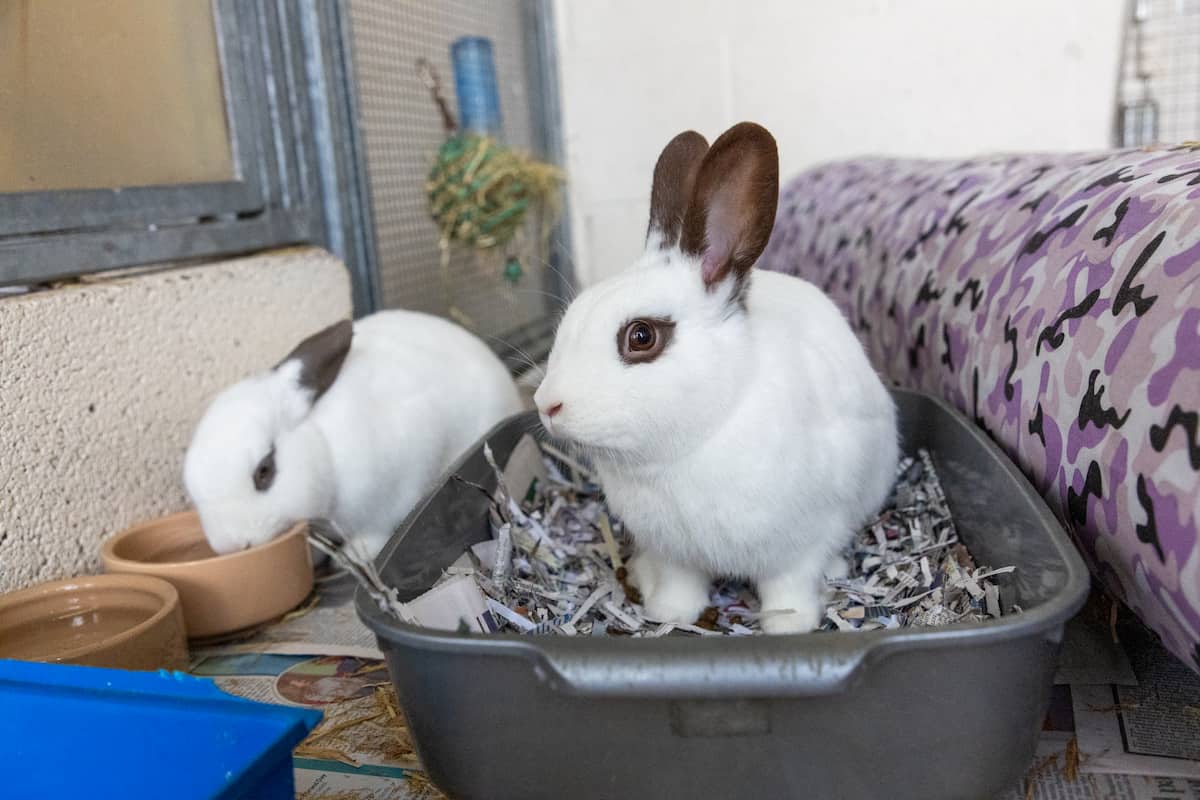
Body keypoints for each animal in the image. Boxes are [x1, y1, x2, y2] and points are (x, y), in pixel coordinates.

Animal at [184, 309, 525, 560]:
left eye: (264, 471)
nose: (230, 545)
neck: (325, 446)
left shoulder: (389, 499)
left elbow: (374, 533)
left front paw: (353, 554)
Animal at [533, 123, 899, 634]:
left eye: (641, 336)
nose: (546, 404)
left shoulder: (796, 549)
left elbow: (788, 588)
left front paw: (789, 626)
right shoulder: (675, 554)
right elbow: (680, 585)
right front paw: (667, 614)